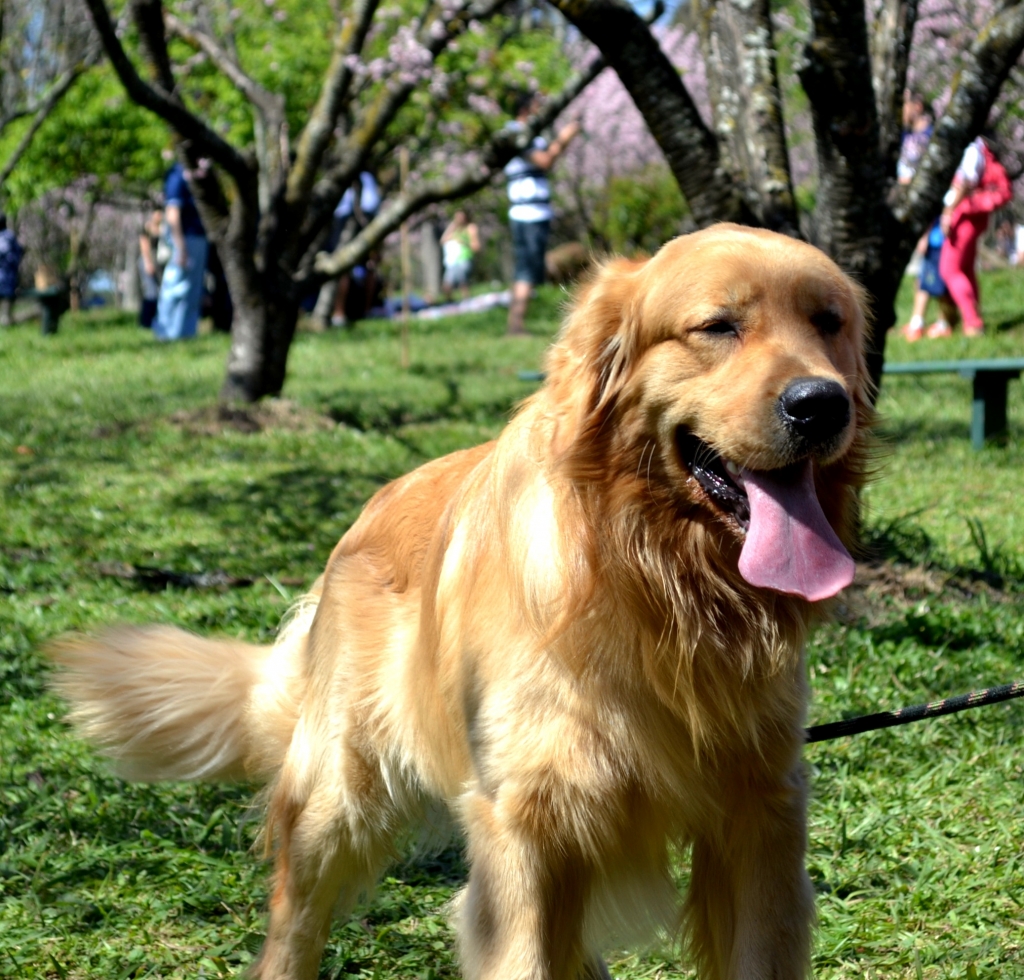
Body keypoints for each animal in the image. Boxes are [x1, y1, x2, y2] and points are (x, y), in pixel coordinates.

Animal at [52, 224, 872, 980]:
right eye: (718, 326)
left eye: (828, 322)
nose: (821, 405)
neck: (649, 576)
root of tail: (364, 515)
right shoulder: (525, 824)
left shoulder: (761, 814)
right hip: (341, 796)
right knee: (295, 921)